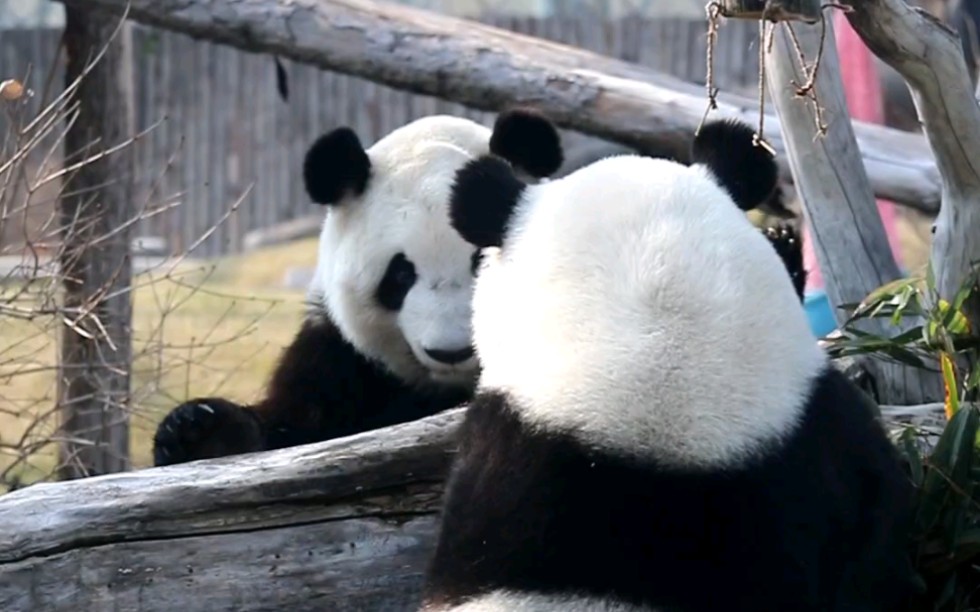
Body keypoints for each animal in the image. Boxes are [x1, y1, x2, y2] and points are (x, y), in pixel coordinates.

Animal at [153, 107, 568, 466]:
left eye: (481, 262)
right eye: (400, 276)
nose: (451, 352)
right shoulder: (338, 357)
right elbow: (289, 430)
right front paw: (198, 433)